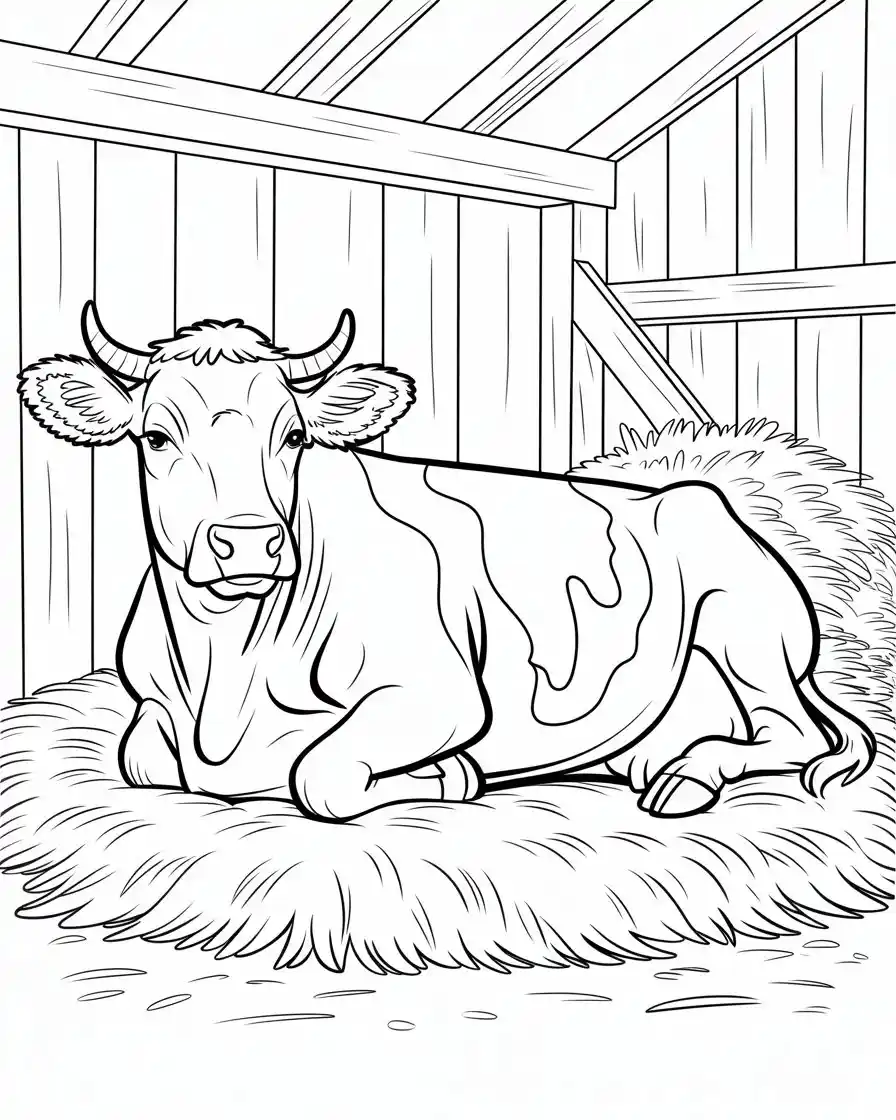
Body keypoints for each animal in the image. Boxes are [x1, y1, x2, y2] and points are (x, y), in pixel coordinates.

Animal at [19, 302, 875, 823]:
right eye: (155, 436)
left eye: (293, 436)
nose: (250, 540)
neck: (225, 673)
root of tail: (694, 492)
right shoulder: (150, 712)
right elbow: (141, 760)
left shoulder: (442, 693)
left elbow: (318, 775)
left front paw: (445, 776)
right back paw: (659, 758)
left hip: (747, 630)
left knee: (795, 735)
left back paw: (689, 776)